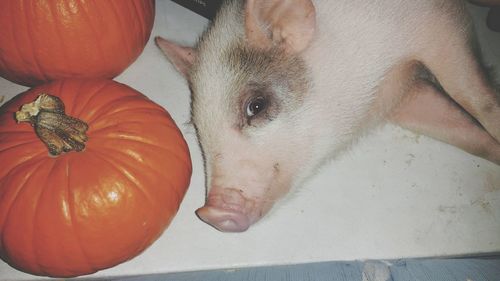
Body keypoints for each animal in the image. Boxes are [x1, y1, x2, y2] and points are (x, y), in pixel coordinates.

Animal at [158, 0, 500, 231]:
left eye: (256, 106)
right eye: (197, 129)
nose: (212, 213)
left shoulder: (441, 25)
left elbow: (474, 97)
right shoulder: (405, 95)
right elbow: (466, 134)